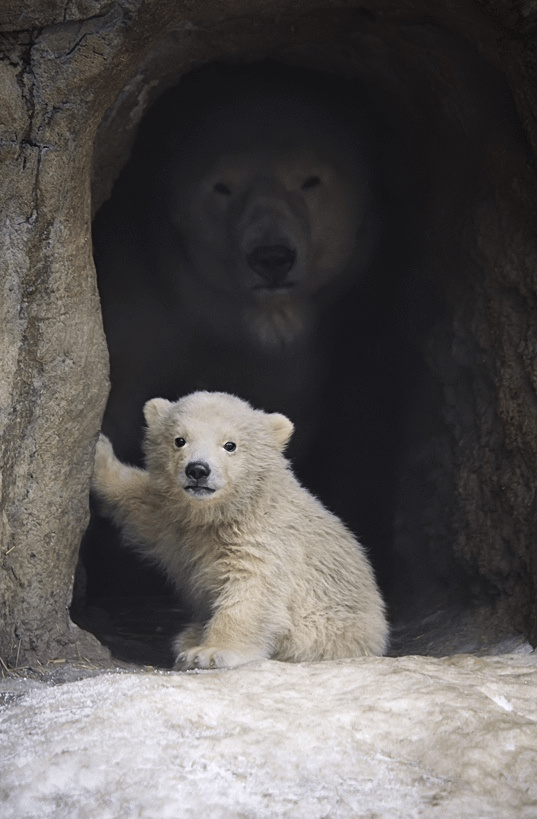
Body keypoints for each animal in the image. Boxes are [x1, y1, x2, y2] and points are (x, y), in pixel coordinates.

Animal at [91, 390, 389, 669]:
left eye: (230, 445)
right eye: (179, 440)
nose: (197, 470)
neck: (223, 513)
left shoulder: (265, 537)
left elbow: (252, 590)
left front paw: (210, 652)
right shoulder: (173, 520)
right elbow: (140, 505)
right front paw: (99, 454)